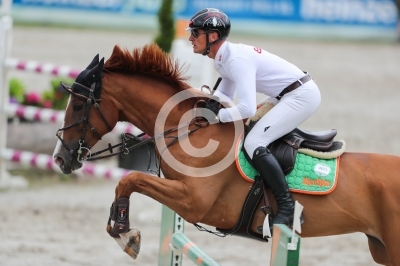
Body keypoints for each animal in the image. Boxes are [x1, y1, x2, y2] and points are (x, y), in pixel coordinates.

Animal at [51, 43, 400, 266]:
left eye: (79, 105)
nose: (60, 159)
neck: (188, 130)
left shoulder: (193, 202)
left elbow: (130, 179)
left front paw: (125, 233)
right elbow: (128, 182)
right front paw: (121, 230)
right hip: (382, 250)